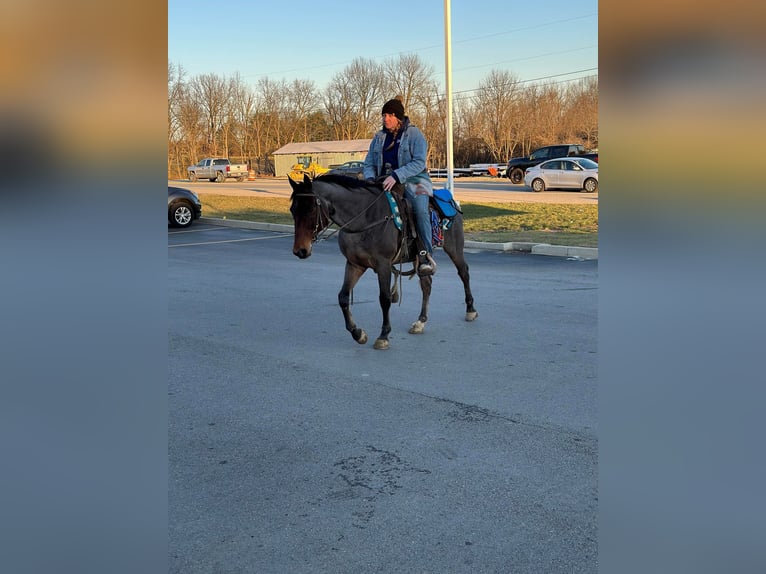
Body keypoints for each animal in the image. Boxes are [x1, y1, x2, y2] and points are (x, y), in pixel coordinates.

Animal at [292, 171, 476, 352]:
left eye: (310, 209)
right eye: (293, 210)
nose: (300, 251)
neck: (365, 218)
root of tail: (452, 201)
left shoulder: (383, 265)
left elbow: (385, 298)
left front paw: (383, 336)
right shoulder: (354, 264)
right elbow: (343, 297)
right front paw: (358, 333)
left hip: (454, 248)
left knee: (464, 272)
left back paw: (471, 310)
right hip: (419, 259)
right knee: (426, 284)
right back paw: (420, 321)